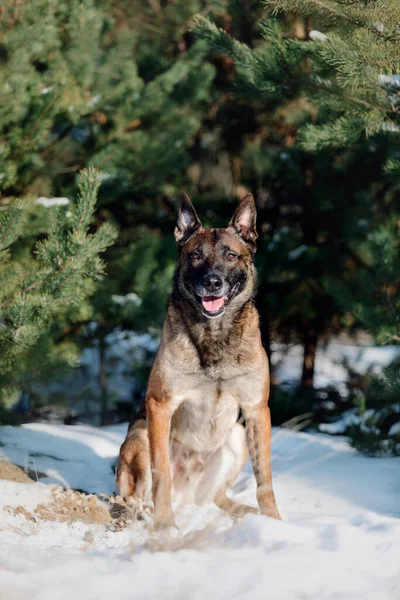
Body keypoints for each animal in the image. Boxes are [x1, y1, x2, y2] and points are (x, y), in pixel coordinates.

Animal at [116, 193, 282, 528]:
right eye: (195, 255)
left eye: (230, 255)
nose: (212, 282)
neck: (214, 334)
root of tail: (188, 497)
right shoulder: (160, 406)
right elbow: (161, 474)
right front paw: (165, 527)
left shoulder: (257, 411)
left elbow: (265, 481)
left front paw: (275, 521)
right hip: (140, 435)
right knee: (135, 495)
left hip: (236, 437)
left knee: (216, 498)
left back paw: (242, 513)